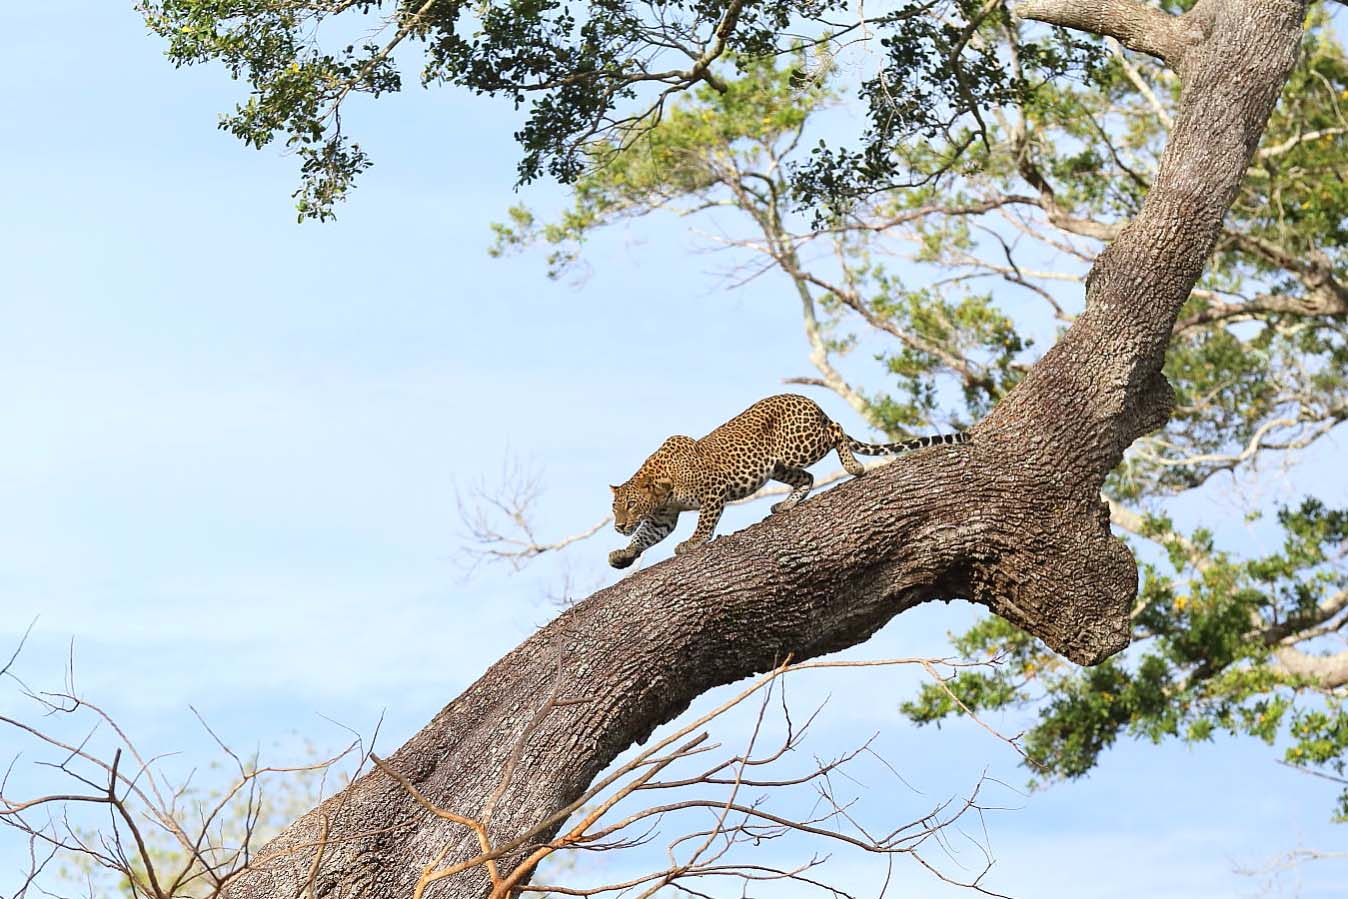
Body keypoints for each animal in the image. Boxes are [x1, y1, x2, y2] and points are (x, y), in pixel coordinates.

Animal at [609, 393, 970, 568]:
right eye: (615, 509)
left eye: (630, 505)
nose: (617, 525)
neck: (659, 487)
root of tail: (809, 401)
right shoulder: (663, 517)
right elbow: (646, 536)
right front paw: (623, 554)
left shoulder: (714, 491)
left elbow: (703, 524)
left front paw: (692, 543)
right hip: (780, 465)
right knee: (807, 478)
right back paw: (784, 505)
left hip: (800, 446)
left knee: (836, 430)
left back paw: (854, 466)